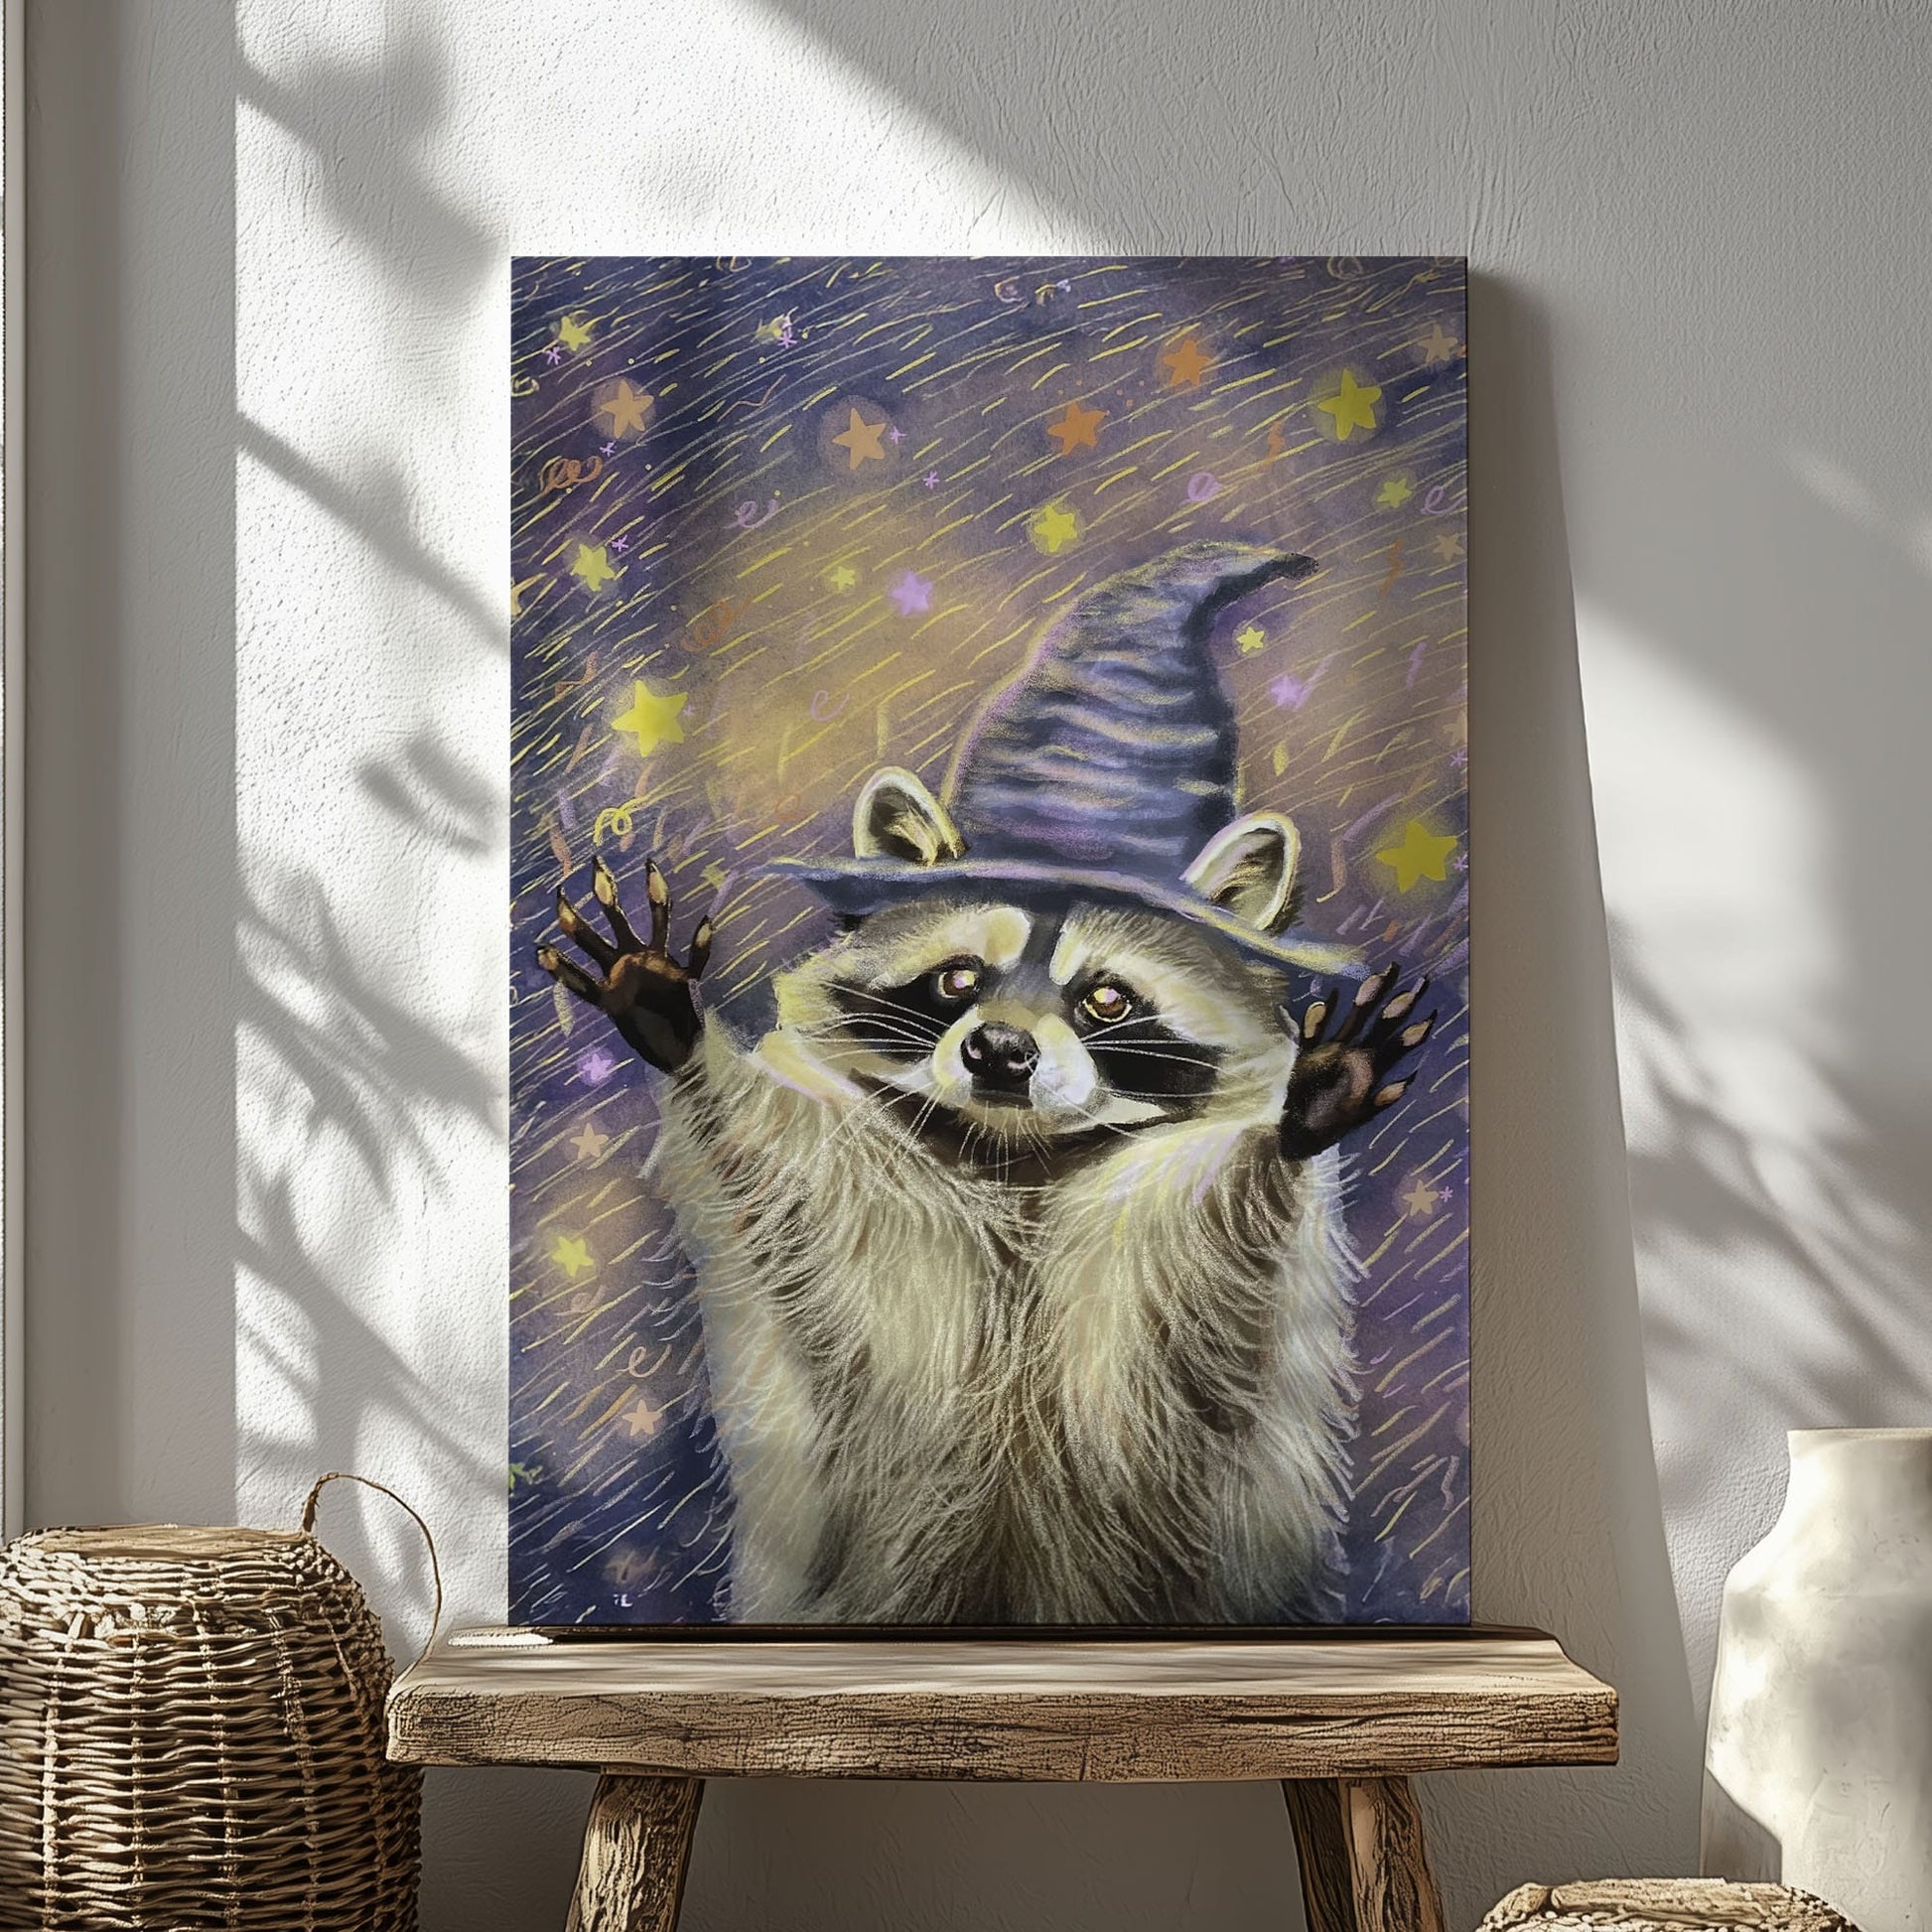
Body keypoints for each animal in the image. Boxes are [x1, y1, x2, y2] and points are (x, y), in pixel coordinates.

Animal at [537, 543, 1434, 1624]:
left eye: (1103, 998)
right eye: (959, 979)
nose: (1000, 1051)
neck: (1018, 1158)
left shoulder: (1165, 1266)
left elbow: (1219, 1263)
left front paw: (1303, 1114)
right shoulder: (866, 1213)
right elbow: (777, 1165)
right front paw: (680, 1031)